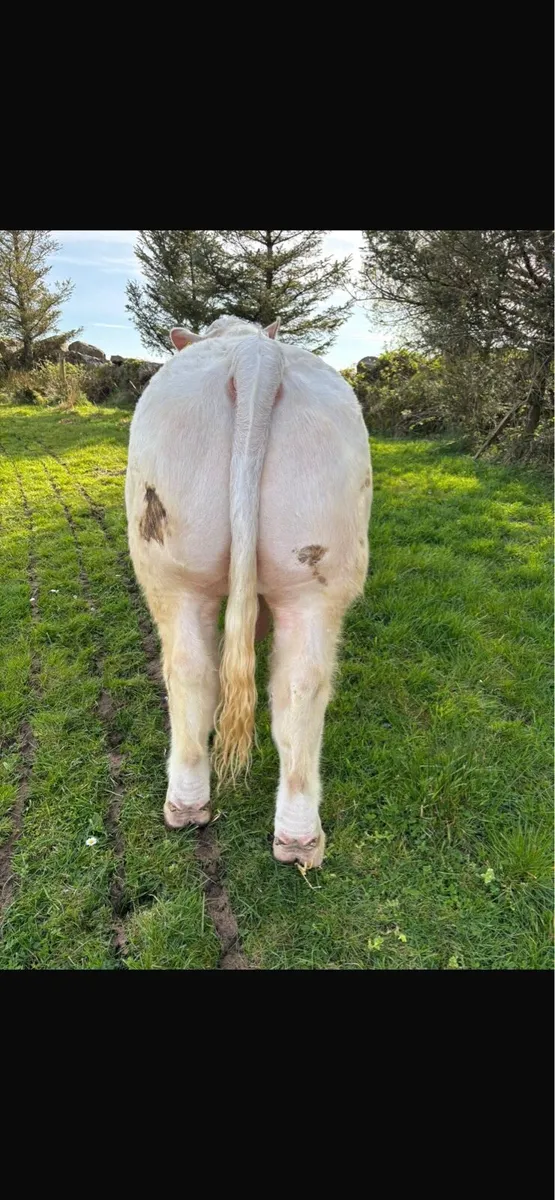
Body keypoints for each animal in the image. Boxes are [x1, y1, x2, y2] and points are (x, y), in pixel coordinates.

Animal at [125, 316, 372, 868]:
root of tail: (254, 357)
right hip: (309, 576)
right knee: (295, 686)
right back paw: (292, 834)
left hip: (169, 574)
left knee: (193, 674)